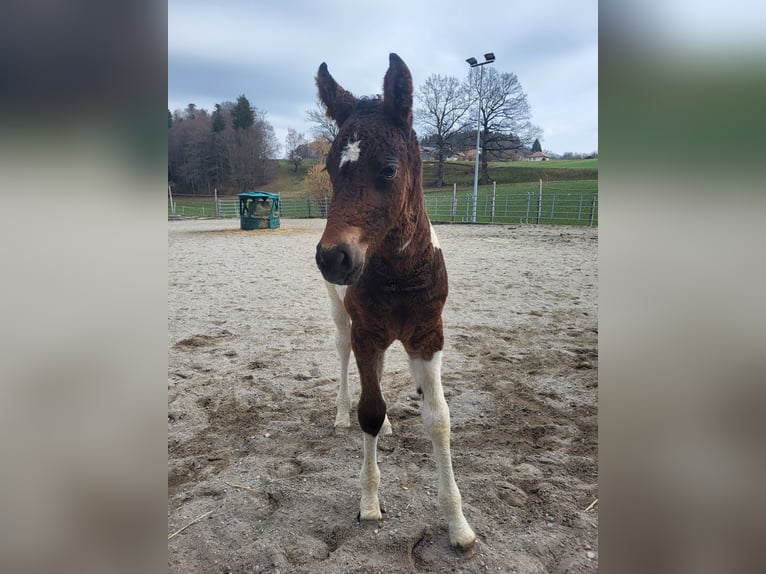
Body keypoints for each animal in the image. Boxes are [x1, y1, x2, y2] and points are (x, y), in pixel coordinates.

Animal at [314, 53, 476, 553]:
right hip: (343, 320)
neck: (401, 276)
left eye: (388, 169)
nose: (333, 257)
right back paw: (341, 416)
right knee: (345, 360)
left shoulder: (428, 336)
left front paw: (458, 526)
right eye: (329, 169)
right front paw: (369, 504)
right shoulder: (366, 332)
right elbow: (369, 410)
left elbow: (439, 420)